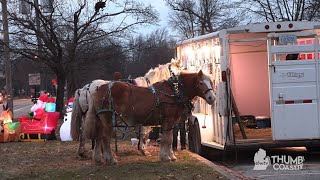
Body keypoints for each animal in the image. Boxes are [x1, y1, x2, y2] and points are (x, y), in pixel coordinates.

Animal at [85, 70, 215, 165]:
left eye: (211, 82)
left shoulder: (172, 122)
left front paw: (171, 155)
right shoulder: (168, 120)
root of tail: (98, 89)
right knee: (105, 138)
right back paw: (111, 159)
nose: (212, 98)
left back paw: (98, 158)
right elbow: (167, 139)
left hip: (101, 120)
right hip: (108, 120)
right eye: (201, 83)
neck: (174, 92)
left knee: (98, 137)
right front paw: (166, 157)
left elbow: (169, 138)